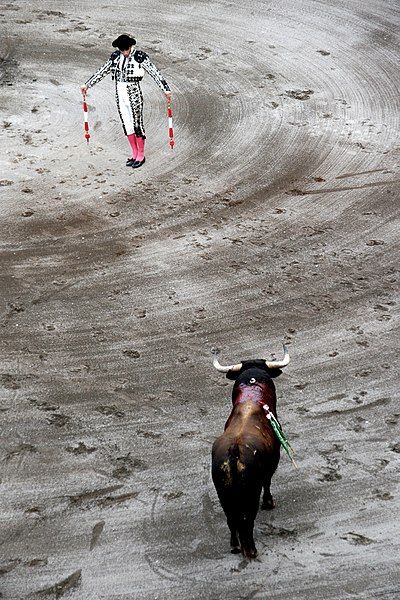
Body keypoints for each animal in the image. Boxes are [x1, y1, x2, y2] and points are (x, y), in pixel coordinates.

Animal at [212, 356, 288, 556]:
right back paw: (251, 549)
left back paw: (235, 546)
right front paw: (268, 502)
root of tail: (234, 450)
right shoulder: (272, 463)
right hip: (251, 491)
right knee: (247, 519)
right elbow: (268, 481)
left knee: (231, 519)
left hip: (223, 493)